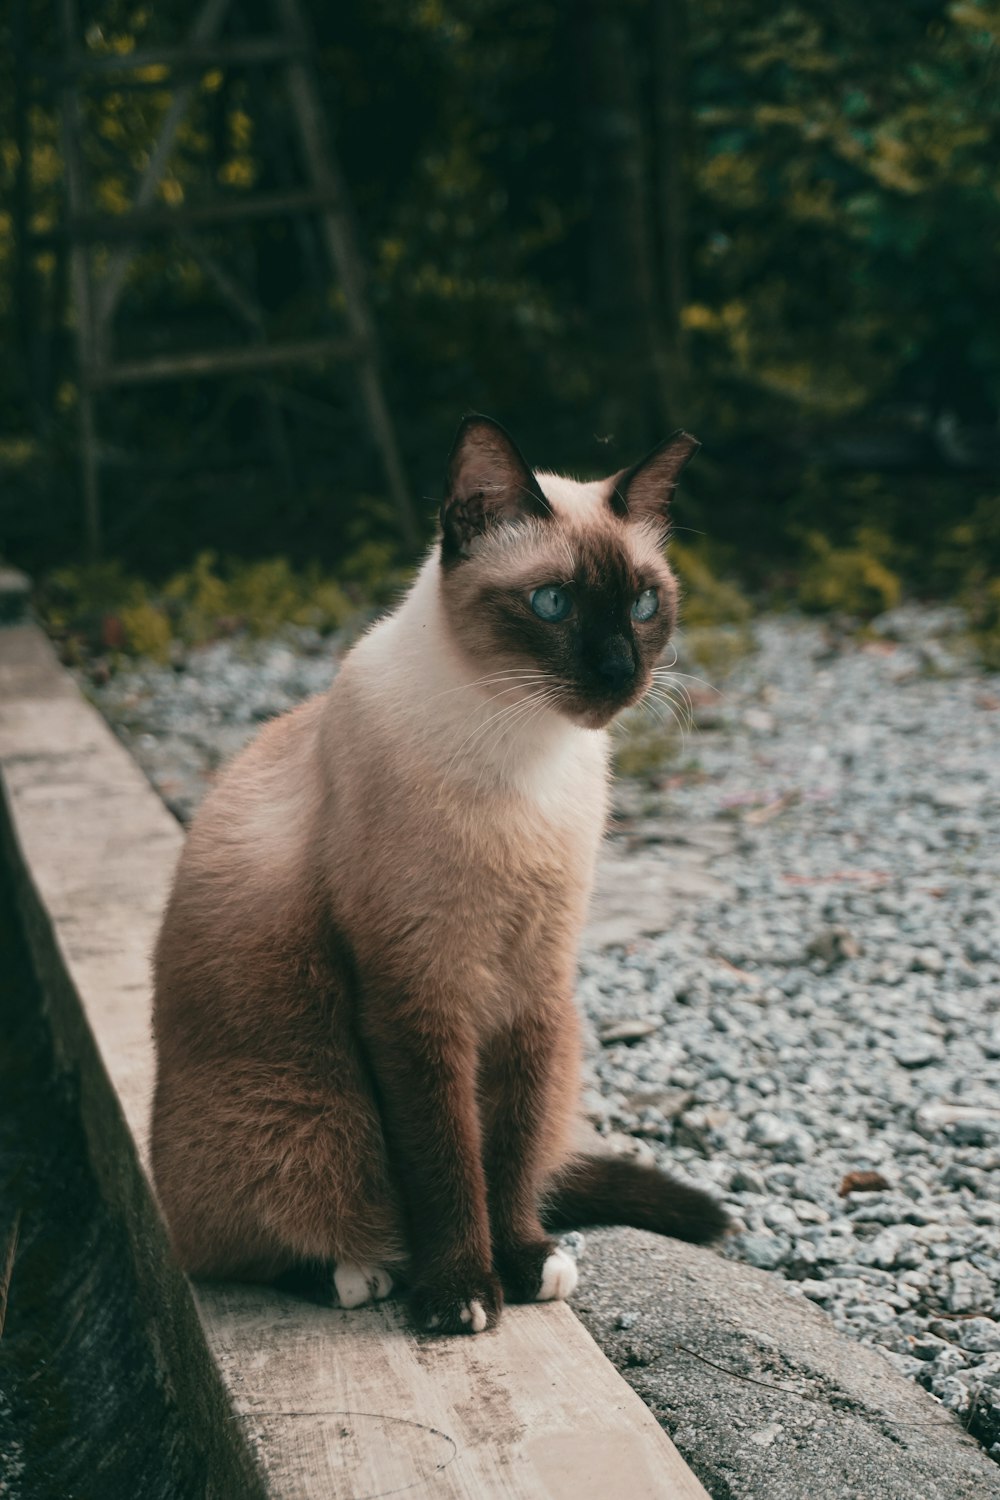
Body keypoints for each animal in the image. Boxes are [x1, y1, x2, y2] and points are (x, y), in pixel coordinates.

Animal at [150, 414, 728, 1338]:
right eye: (553, 603)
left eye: (643, 604)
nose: (618, 671)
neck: (525, 757)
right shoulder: (418, 991)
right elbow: (446, 1159)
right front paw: (461, 1291)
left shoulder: (533, 981)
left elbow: (510, 1149)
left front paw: (523, 1260)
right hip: (301, 1112)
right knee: (245, 1250)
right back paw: (361, 1273)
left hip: (556, 1047)